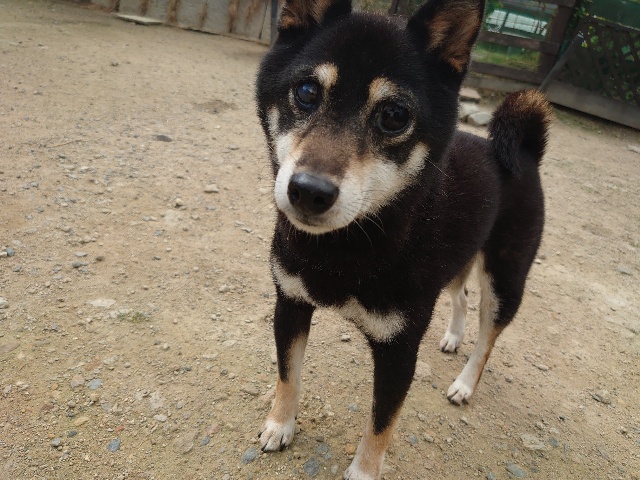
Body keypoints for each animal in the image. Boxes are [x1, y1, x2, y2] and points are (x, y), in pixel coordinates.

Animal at [255, 0, 550, 478]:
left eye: (394, 116)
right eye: (306, 91)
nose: (309, 191)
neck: (345, 248)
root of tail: (523, 152)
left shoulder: (399, 348)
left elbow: (381, 424)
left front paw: (362, 472)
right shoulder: (291, 303)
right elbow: (288, 377)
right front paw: (280, 425)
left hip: (505, 280)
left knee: (487, 338)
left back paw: (465, 384)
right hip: (458, 258)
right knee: (460, 294)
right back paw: (452, 337)